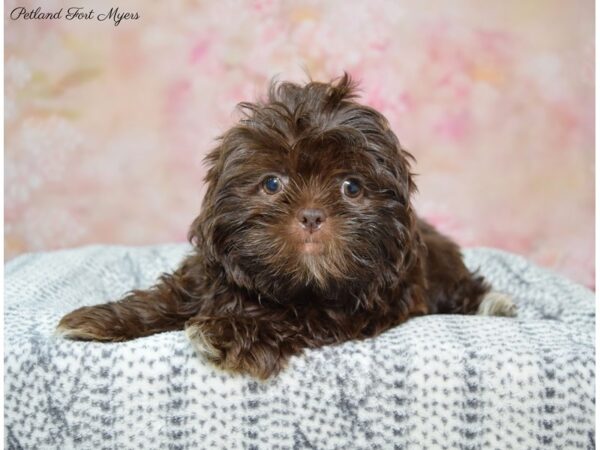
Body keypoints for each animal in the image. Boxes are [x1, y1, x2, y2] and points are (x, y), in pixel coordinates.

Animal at [57, 74, 516, 380]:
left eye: (352, 187)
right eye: (272, 183)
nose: (311, 215)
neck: (298, 282)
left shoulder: (356, 304)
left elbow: (294, 317)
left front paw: (229, 332)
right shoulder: (207, 275)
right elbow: (168, 296)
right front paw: (102, 318)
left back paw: (494, 302)